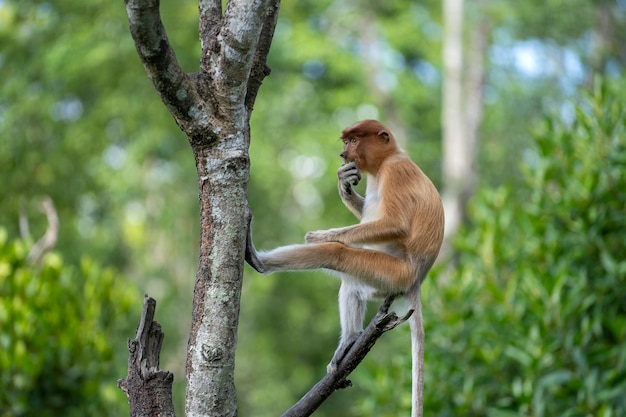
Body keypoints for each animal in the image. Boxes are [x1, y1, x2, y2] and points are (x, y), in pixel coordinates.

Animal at [244, 118, 444, 416]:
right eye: (346, 141)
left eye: (354, 140)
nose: (343, 154)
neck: (387, 160)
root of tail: (417, 280)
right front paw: (344, 184)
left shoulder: (396, 172)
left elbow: (395, 224)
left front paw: (321, 236)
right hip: (381, 279)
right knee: (350, 283)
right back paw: (352, 338)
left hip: (393, 272)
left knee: (337, 254)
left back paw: (258, 260)